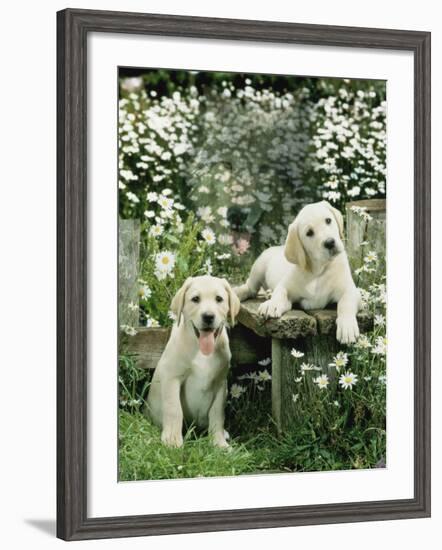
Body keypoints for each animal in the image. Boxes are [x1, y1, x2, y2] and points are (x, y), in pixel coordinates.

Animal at [146, 276, 240, 448]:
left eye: (219, 299)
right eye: (195, 299)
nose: (208, 316)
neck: (202, 351)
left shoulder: (220, 383)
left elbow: (217, 414)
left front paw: (219, 443)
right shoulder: (172, 378)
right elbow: (174, 409)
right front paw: (172, 440)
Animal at [235, 201, 360, 342]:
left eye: (328, 220)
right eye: (309, 233)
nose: (330, 242)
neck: (318, 270)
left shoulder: (352, 291)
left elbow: (346, 303)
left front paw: (347, 327)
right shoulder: (286, 285)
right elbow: (280, 292)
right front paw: (272, 304)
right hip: (259, 266)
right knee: (250, 287)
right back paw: (238, 292)